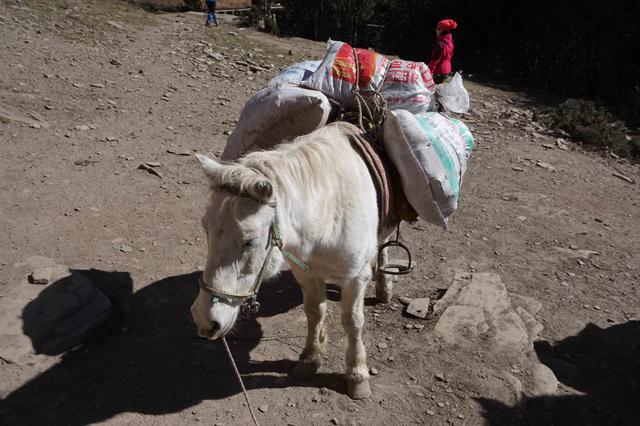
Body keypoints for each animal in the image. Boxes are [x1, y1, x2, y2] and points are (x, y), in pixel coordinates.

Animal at [190, 120, 398, 400]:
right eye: (206, 229)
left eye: (249, 241)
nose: (204, 320)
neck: (329, 211)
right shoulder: (307, 272)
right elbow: (314, 312)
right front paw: (310, 359)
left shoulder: (355, 278)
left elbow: (353, 322)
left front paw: (357, 376)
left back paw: (384, 286)